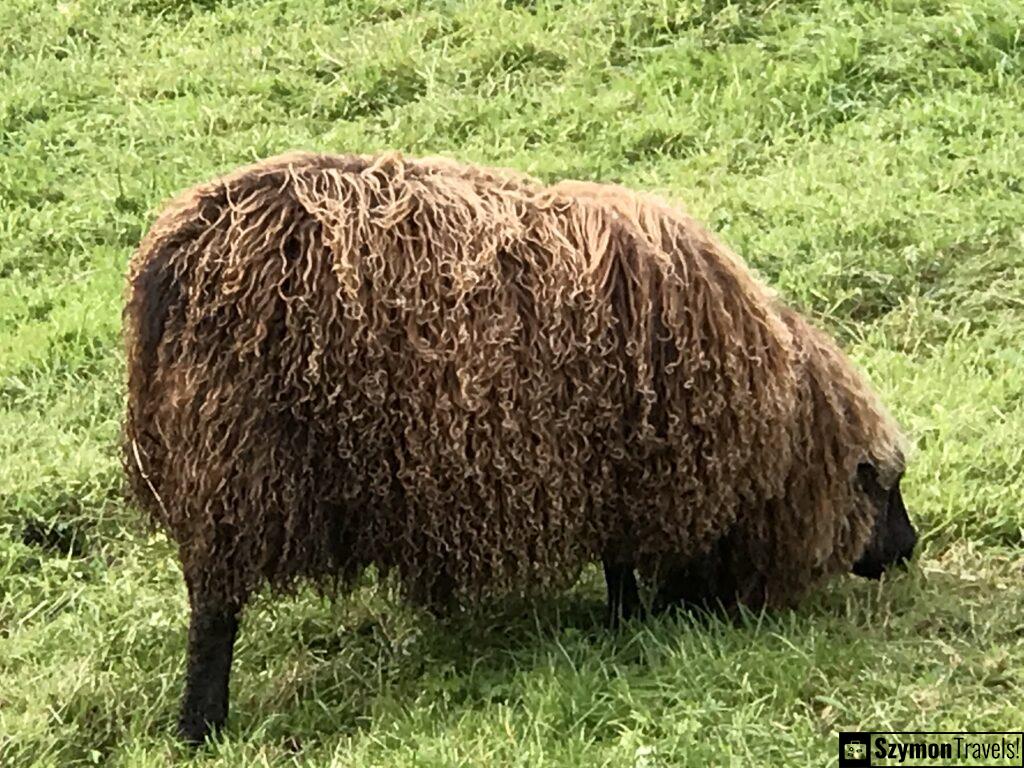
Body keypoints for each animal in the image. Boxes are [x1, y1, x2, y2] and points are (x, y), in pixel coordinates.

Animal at [123, 151, 917, 745]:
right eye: (877, 482)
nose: (910, 548)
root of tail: (179, 245)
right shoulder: (625, 475)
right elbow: (622, 568)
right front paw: (630, 626)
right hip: (228, 471)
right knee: (214, 618)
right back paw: (200, 726)